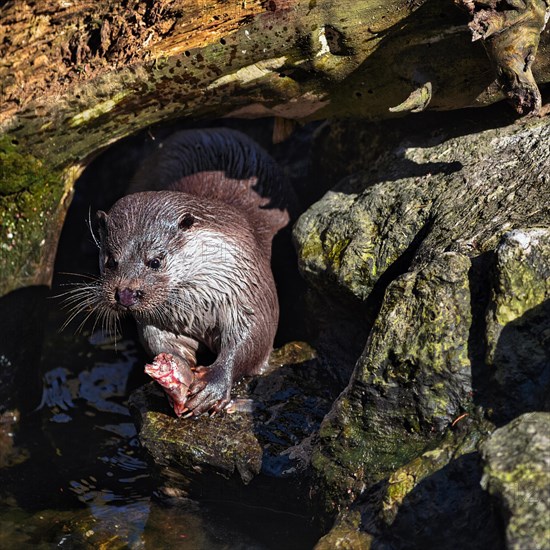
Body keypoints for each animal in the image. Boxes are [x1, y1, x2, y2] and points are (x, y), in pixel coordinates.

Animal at [92, 132, 296, 418]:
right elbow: (157, 340)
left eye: (155, 261)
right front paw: (175, 371)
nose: (126, 294)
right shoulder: (159, 319)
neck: (199, 306)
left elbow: (252, 338)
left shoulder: (248, 289)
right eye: (111, 261)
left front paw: (213, 385)